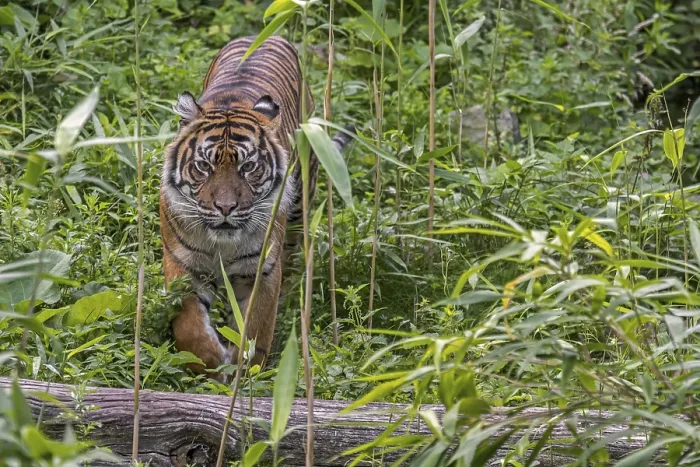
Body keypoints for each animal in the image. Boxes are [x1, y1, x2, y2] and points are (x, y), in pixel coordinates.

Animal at [160, 35, 353, 378]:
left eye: (248, 167)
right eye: (204, 166)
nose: (225, 207)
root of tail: (264, 35)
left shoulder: (261, 268)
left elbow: (256, 326)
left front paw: (245, 369)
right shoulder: (182, 263)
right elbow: (189, 327)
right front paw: (211, 365)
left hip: (301, 199)